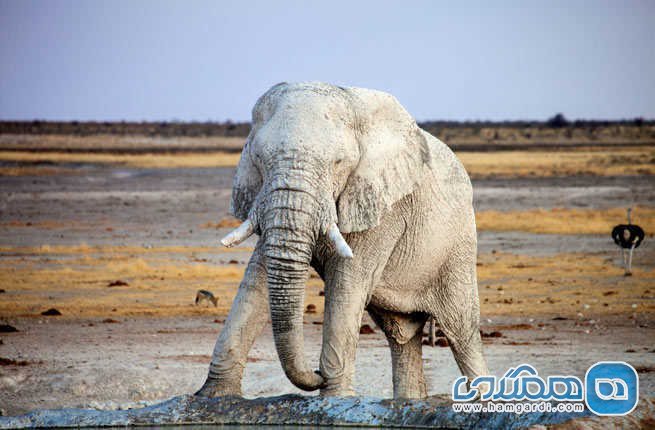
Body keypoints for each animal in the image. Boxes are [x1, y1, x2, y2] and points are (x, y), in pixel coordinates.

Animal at [197, 81, 490, 400]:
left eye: (338, 163)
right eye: (259, 158)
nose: (315, 374)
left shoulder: (383, 207)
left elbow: (347, 280)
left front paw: (335, 398)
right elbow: (258, 278)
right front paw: (213, 396)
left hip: (458, 245)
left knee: (462, 334)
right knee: (402, 337)